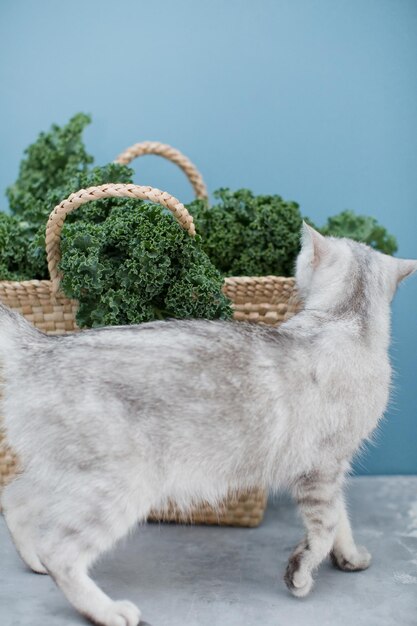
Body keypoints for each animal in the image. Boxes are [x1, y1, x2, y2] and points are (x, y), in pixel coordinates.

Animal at [0, 224, 414, 624]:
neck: (346, 319)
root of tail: (43, 346)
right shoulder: (321, 470)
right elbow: (325, 527)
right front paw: (301, 573)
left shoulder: (335, 468)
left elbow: (341, 520)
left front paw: (349, 557)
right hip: (118, 485)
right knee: (60, 551)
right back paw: (107, 611)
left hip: (65, 476)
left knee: (14, 501)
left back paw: (34, 562)